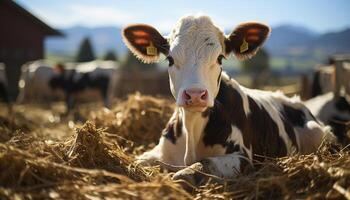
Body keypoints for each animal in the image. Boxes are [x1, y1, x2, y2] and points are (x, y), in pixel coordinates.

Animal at [121, 15, 330, 186]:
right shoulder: (157, 152)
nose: (195, 94)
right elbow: (138, 162)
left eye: (220, 58)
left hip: (317, 133)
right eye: (170, 59)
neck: (192, 130)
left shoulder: (243, 157)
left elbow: (193, 170)